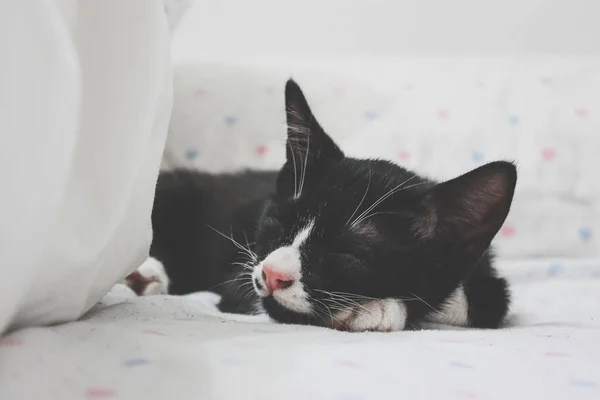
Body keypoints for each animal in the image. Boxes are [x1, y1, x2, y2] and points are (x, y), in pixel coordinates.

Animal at [131, 78, 516, 332]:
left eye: (346, 255)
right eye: (275, 226)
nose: (272, 274)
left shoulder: (486, 278)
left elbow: (485, 300)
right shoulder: (242, 270)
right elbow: (247, 294)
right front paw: (373, 310)